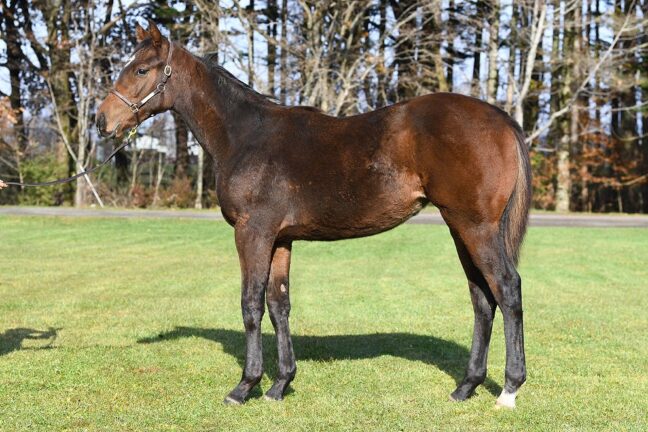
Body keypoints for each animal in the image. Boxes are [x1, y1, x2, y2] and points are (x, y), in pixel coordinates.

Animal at [97, 21, 531, 409]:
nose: (103, 121)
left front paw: (245, 387)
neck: (245, 136)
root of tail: (502, 120)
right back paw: (466, 387)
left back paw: (509, 390)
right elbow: (279, 304)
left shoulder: (252, 232)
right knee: (481, 298)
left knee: (506, 289)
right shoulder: (281, 238)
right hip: (460, 228)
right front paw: (280, 385)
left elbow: (251, 304)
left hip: (476, 227)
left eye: (140, 69)